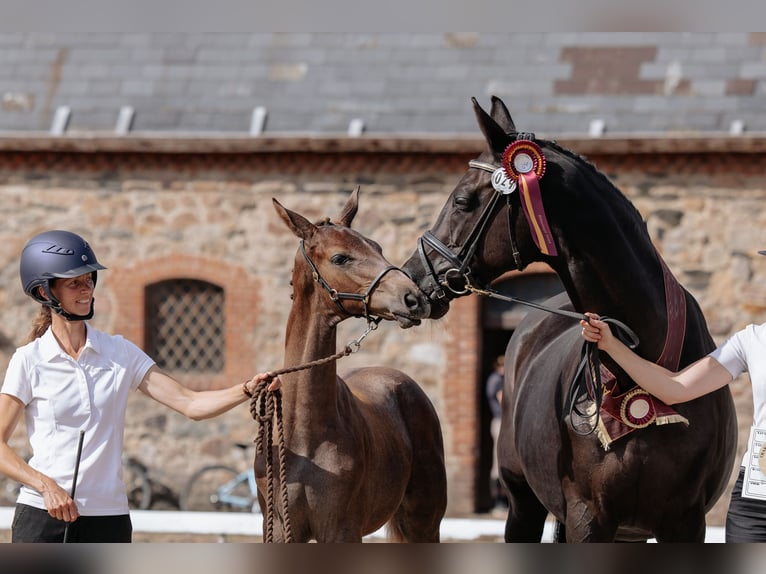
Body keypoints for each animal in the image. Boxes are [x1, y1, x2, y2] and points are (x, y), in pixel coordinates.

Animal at [258, 189, 450, 544]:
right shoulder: (278, 528)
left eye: (377, 246)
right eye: (340, 258)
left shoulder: (341, 529)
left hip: (424, 522)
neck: (303, 433)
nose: (415, 298)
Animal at [402, 97, 736, 544]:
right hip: (523, 504)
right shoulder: (587, 517)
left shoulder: (685, 523)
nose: (412, 280)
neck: (647, 373)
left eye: (462, 202)